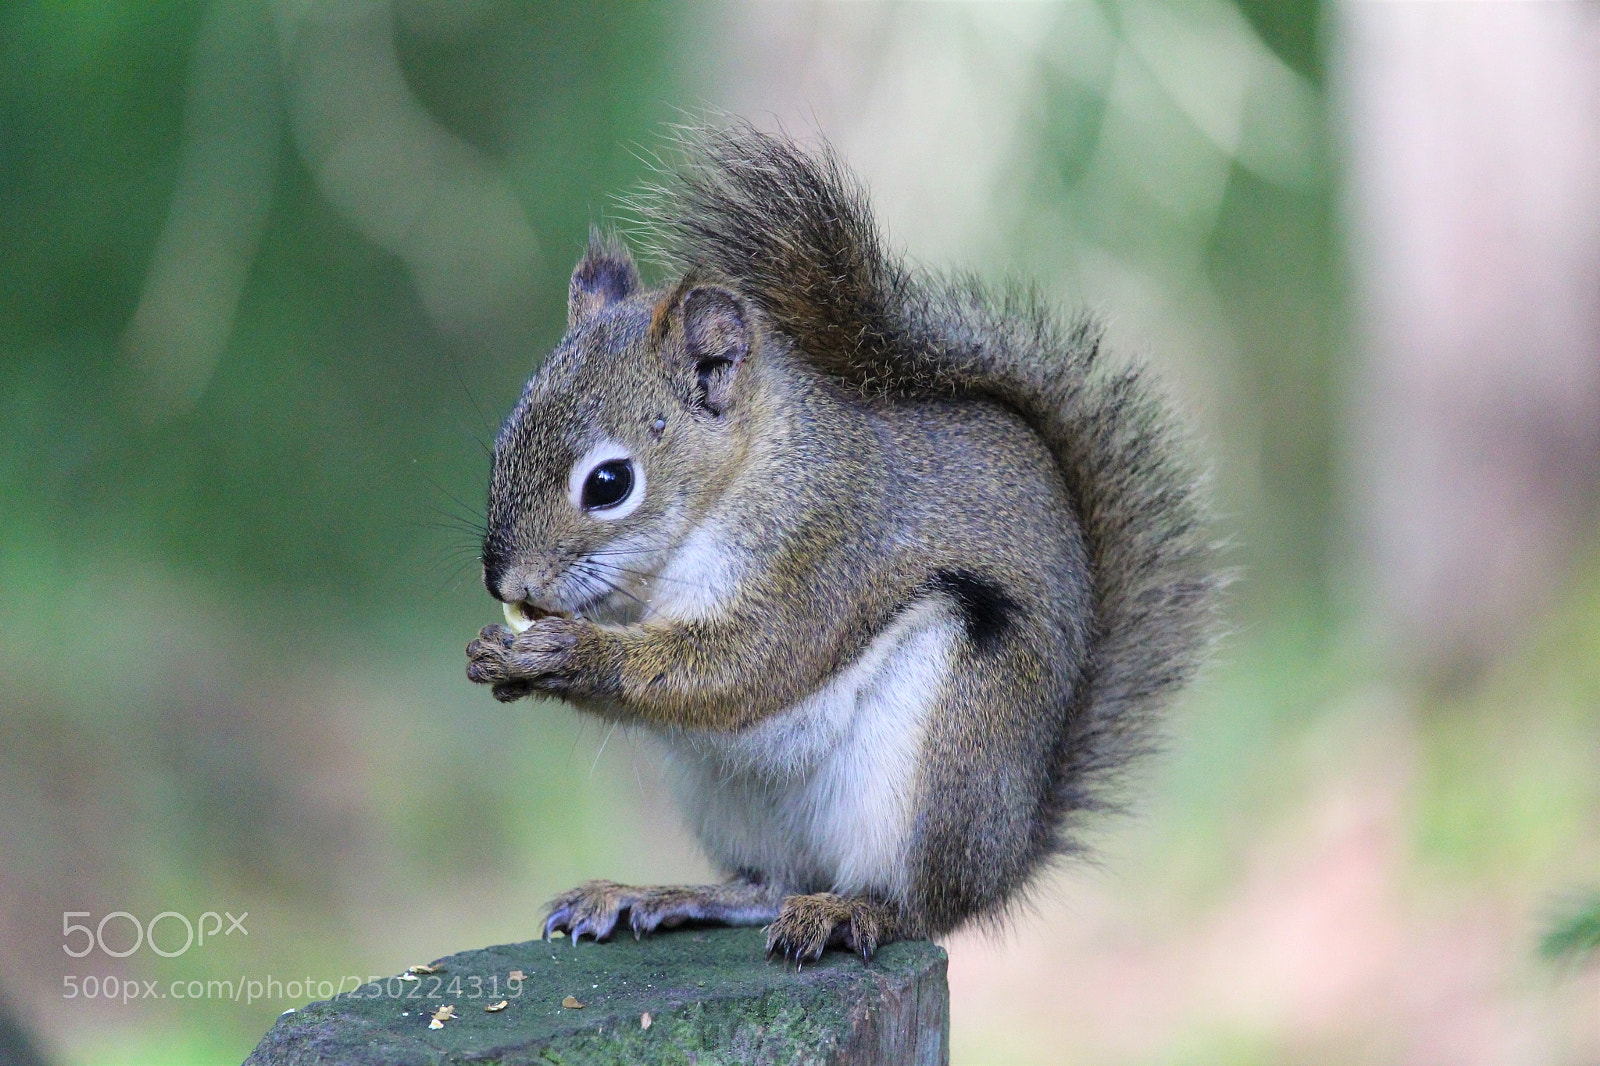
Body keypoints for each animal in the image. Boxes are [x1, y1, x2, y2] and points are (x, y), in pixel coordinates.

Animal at [465, 124, 1218, 964]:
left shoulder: (824, 546)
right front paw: (498, 656)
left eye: (608, 484)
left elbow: (748, 661)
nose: (507, 583)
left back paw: (852, 912)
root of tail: (1010, 856)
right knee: (767, 887)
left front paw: (568, 653)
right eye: (501, 447)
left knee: (919, 907)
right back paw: (650, 896)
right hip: (731, 803)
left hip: (944, 759)